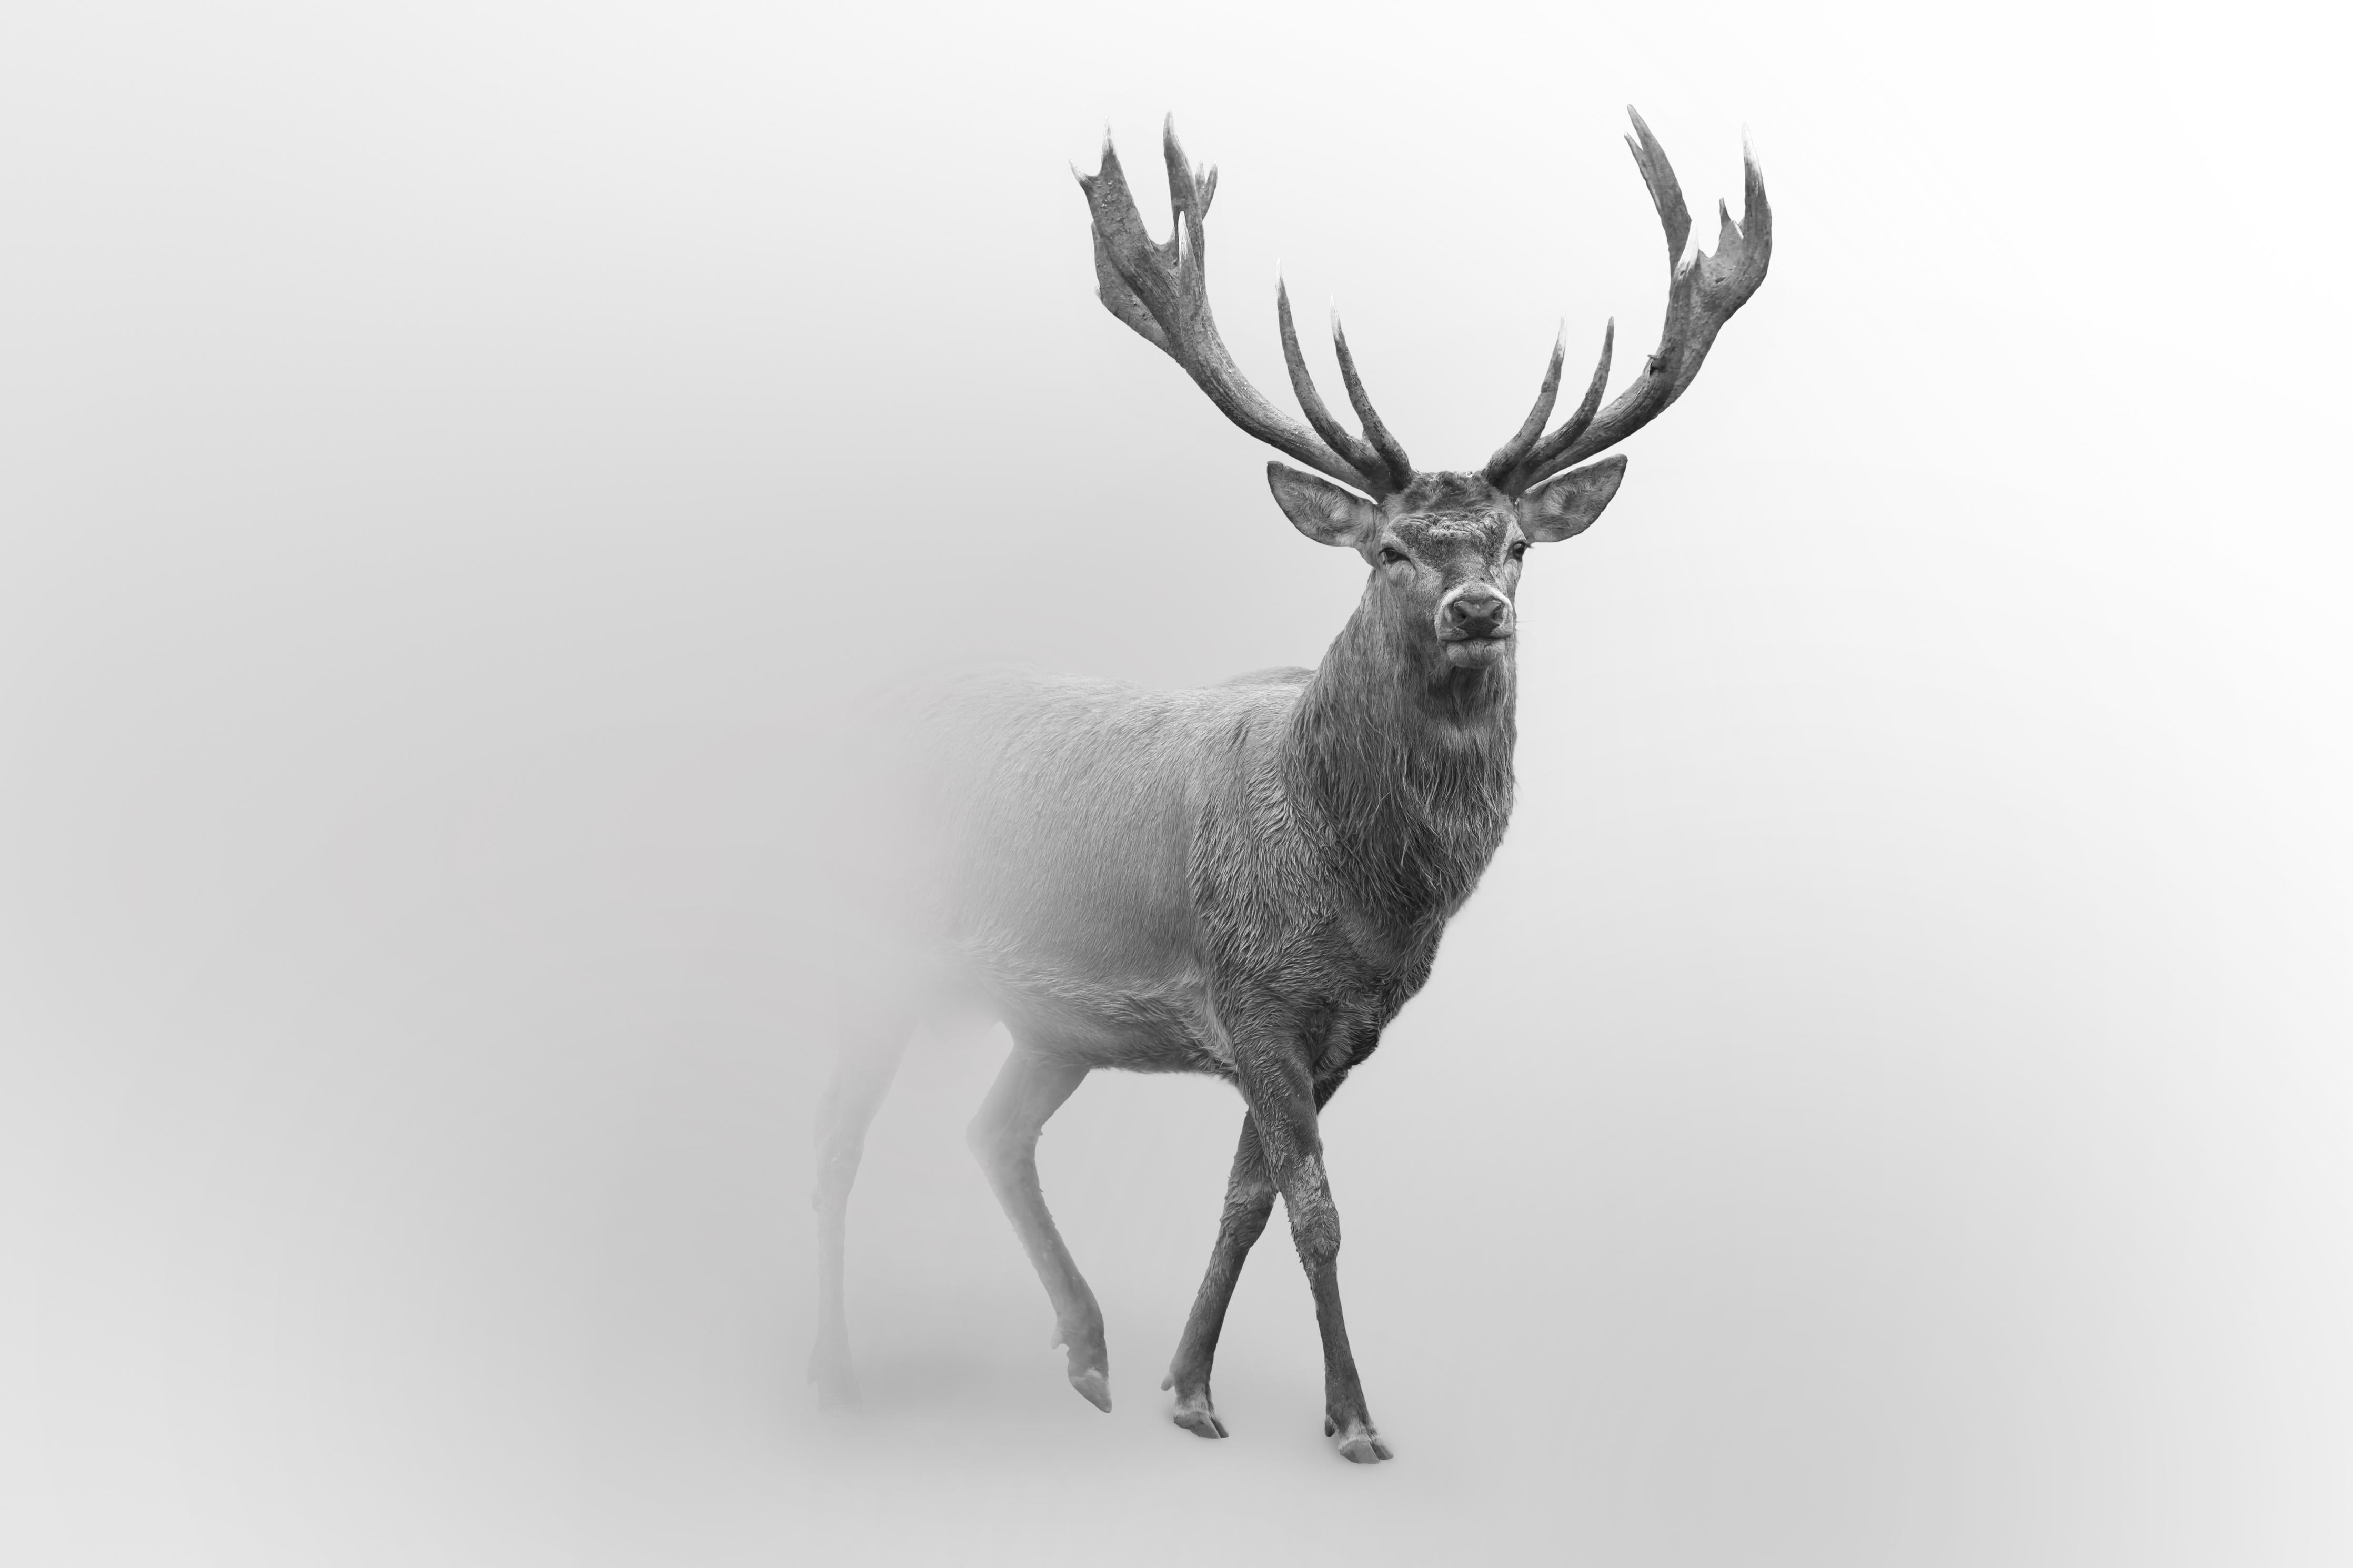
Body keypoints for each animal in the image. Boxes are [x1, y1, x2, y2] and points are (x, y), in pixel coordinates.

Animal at [807, 108, 1769, 1464]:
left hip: (1051, 1019)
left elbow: (1246, 1199)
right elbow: (1314, 1208)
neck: (1366, 893)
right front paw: (1353, 1418)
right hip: (873, 944)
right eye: (1389, 549)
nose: (1475, 607)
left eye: (1516, 546)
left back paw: (1089, 1353)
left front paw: (1186, 1385)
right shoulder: (1251, 993)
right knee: (835, 1140)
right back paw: (837, 1375)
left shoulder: (1340, 1033)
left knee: (990, 1128)